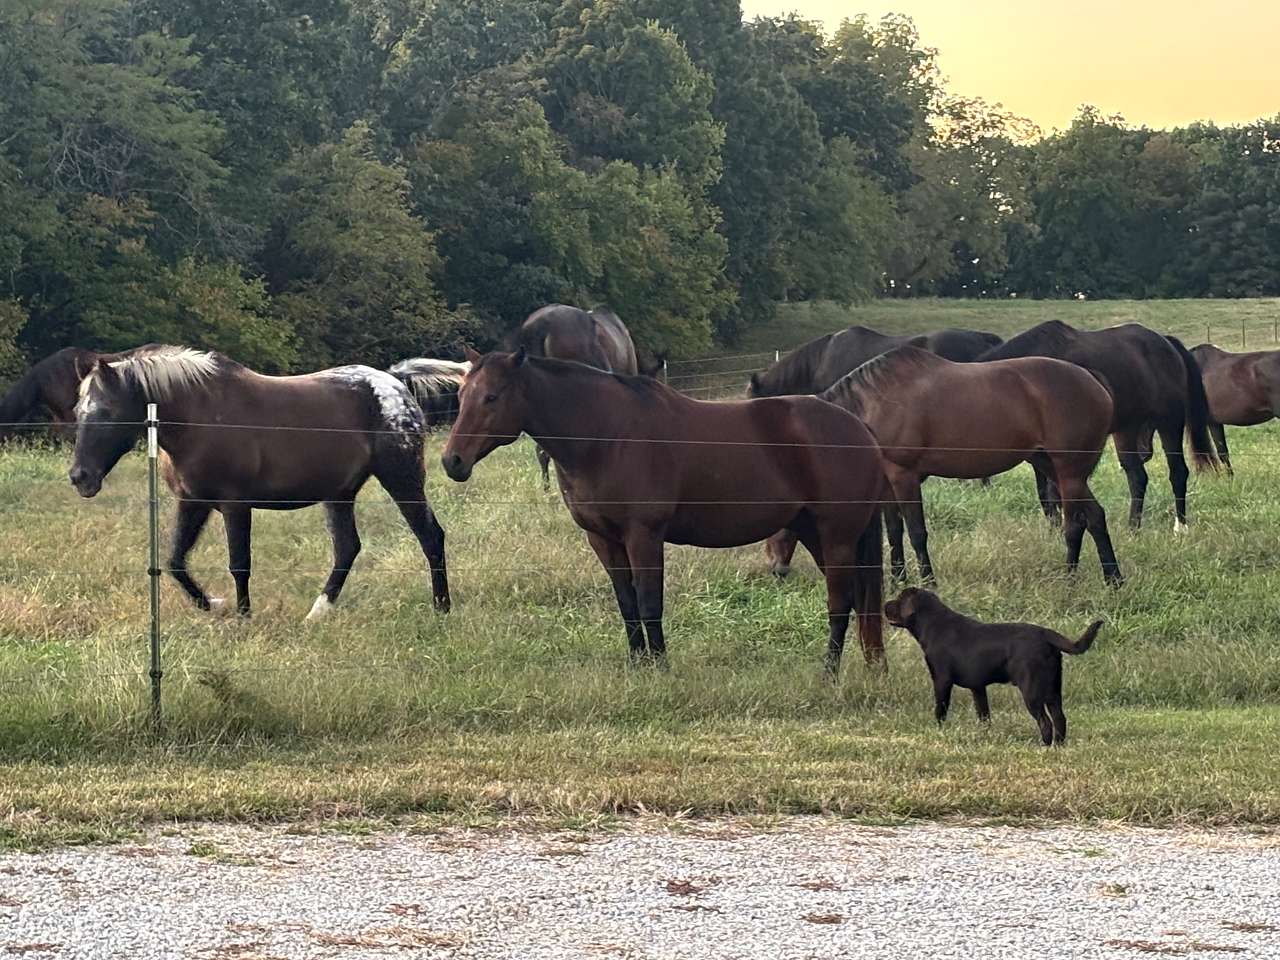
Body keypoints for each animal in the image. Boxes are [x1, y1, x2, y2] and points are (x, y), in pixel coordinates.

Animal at [69, 345, 450, 618]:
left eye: (106, 412)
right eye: (77, 411)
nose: (79, 477)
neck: (200, 417)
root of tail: (394, 382)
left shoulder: (235, 505)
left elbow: (239, 563)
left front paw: (243, 615)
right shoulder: (192, 502)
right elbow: (176, 560)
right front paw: (214, 604)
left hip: (402, 480)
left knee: (430, 536)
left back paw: (441, 607)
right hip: (340, 494)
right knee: (347, 548)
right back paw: (317, 613)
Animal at [440, 348, 887, 676]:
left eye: (492, 396)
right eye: (461, 397)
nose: (452, 461)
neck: (607, 436)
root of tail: (860, 429)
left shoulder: (644, 535)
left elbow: (649, 601)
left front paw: (659, 668)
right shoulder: (603, 538)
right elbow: (627, 603)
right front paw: (638, 665)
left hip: (837, 534)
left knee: (840, 600)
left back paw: (828, 672)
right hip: (813, 531)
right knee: (853, 597)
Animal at [764, 347, 1122, 585]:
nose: (776, 570)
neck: (871, 406)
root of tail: (1093, 381)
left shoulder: (904, 476)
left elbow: (916, 532)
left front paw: (928, 581)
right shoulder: (887, 483)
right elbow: (894, 532)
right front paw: (898, 579)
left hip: (1068, 472)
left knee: (1074, 523)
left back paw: (1071, 577)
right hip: (1051, 467)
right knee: (1094, 517)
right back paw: (1112, 578)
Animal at [978, 321, 1216, 530]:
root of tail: (1166, 342)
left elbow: (1055, 494)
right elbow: (1046, 495)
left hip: (1169, 421)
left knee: (1177, 472)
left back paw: (1180, 528)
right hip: (1127, 430)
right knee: (1137, 477)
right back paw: (1133, 529)